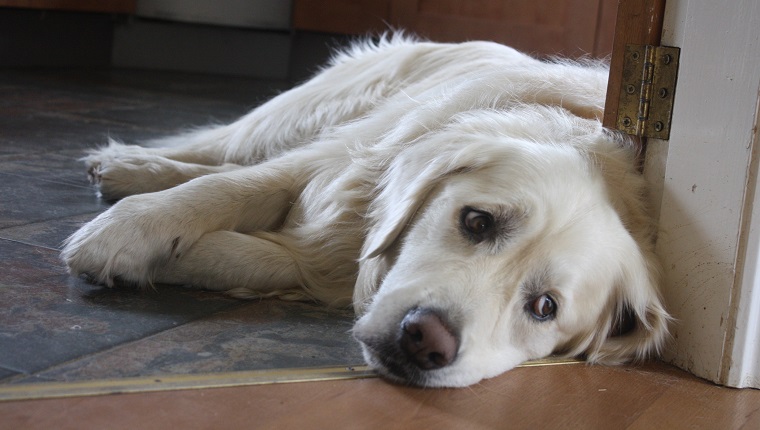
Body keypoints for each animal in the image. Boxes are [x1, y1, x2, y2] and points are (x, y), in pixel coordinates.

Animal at [63, 35, 672, 388]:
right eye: (476, 221)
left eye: (545, 307)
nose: (425, 339)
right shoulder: (334, 164)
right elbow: (228, 189)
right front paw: (127, 233)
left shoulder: (327, 255)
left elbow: (257, 257)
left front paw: (181, 255)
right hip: (302, 115)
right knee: (218, 152)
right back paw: (127, 166)